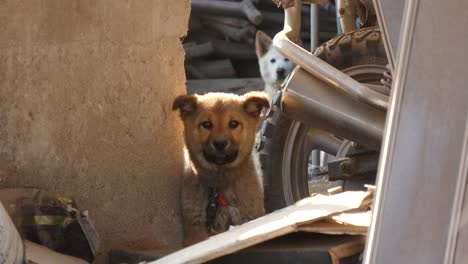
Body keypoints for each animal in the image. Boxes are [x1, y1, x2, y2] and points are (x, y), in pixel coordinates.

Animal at [172, 91, 268, 245]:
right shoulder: (195, 228)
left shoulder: (250, 215)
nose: (220, 144)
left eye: (233, 124)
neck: (220, 184)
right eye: (206, 124)